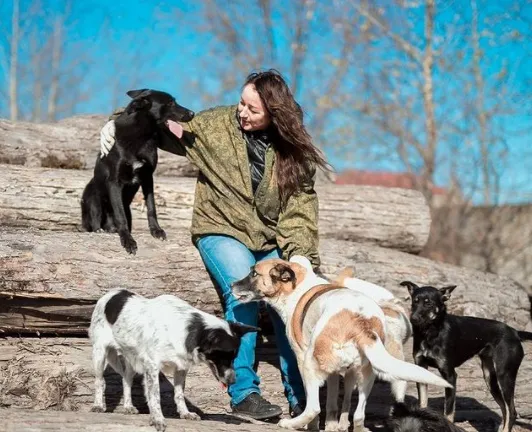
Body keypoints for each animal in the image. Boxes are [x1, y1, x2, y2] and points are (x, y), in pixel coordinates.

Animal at [81, 89, 193, 255]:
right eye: (170, 103)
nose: (193, 113)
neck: (141, 135)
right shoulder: (114, 182)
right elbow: (120, 216)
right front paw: (127, 240)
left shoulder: (148, 178)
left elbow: (151, 207)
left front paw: (156, 230)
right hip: (93, 199)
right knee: (96, 219)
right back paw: (101, 230)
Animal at [90, 288, 260, 430]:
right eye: (223, 356)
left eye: (234, 357)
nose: (233, 381)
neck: (187, 329)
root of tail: (111, 293)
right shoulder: (152, 366)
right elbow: (155, 396)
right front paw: (157, 419)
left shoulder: (181, 367)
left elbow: (178, 394)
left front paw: (185, 413)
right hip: (99, 353)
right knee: (100, 381)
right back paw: (98, 405)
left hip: (132, 359)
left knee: (126, 381)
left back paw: (127, 406)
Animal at [231, 258, 450, 430]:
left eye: (254, 273)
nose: (232, 285)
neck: (298, 287)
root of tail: (361, 323)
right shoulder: (342, 371)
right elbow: (337, 404)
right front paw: (336, 424)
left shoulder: (303, 359)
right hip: (367, 375)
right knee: (359, 416)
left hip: (310, 364)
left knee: (313, 408)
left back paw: (291, 424)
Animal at [404, 280, 532, 432]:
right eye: (414, 301)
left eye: (428, 303)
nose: (413, 318)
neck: (430, 333)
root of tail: (515, 332)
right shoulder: (422, 369)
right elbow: (422, 405)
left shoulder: (450, 376)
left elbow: (448, 413)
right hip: (490, 379)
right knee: (505, 409)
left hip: (505, 376)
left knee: (511, 411)